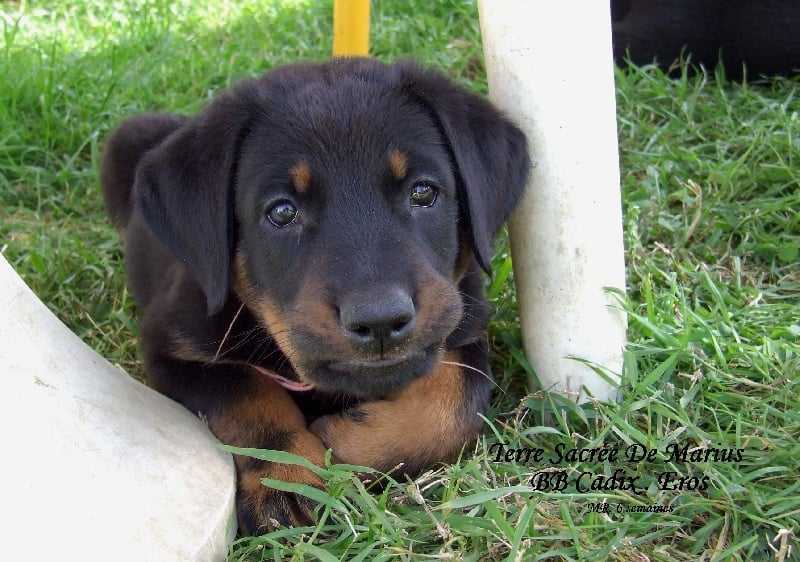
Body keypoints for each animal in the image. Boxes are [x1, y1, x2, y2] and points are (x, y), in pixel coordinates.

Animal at [98, 58, 532, 532]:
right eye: (282, 212)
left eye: (423, 191)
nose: (380, 320)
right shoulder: (172, 349)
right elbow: (248, 393)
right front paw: (287, 479)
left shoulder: (464, 324)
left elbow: (460, 399)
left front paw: (348, 443)